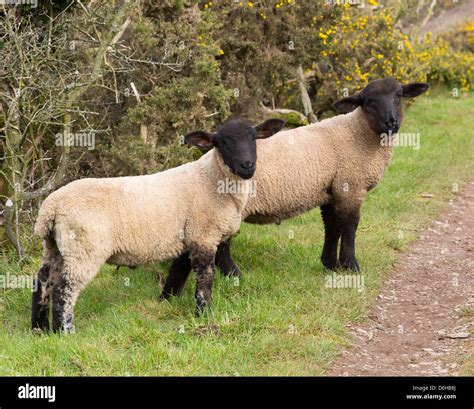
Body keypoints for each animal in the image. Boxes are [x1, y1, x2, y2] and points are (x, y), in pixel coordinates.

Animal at [33, 117, 286, 332]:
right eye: (222, 142)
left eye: (253, 138)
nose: (247, 165)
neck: (212, 180)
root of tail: (51, 206)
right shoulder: (203, 235)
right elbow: (205, 278)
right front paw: (204, 314)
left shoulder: (188, 237)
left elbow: (178, 273)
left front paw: (166, 301)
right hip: (83, 248)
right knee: (64, 289)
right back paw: (64, 331)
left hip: (55, 246)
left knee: (42, 281)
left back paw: (40, 328)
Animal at [162, 76, 430, 294]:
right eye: (369, 101)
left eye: (399, 95)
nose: (391, 122)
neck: (358, 135)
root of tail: (200, 167)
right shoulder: (350, 186)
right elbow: (350, 227)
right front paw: (350, 266)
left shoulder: (330, 189)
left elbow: (332, 227)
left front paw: (330, 264)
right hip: (219, 211)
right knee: (221, 246)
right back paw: (236, 277)